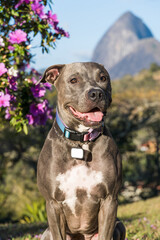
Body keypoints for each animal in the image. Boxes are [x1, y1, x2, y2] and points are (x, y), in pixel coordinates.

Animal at [37, 62, 125, 240]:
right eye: (73, 80)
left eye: (103, 78)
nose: (96, 93)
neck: (81, 142)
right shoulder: (53, 203)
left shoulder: (110, 199)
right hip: (46, 233)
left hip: (120, 225)